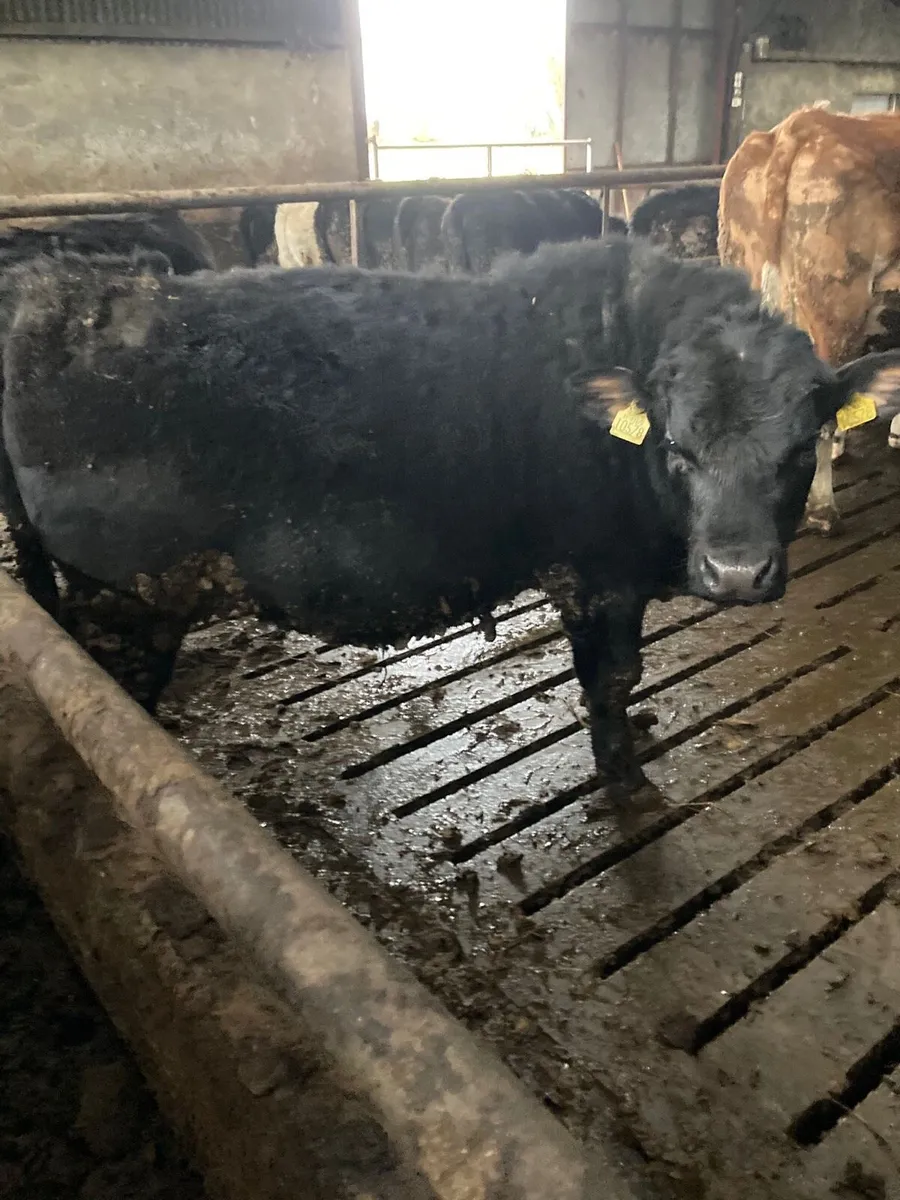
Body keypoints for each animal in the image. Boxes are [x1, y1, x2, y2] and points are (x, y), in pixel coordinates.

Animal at [4, 240, 898, 792]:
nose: (738, 571)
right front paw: (626, 776)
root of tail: (65, 294)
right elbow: (610, 680)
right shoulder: (597, 579)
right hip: (125, 603)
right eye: (677, 445)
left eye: (803, 445)